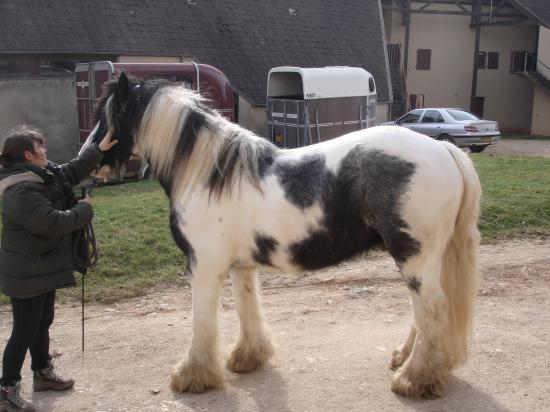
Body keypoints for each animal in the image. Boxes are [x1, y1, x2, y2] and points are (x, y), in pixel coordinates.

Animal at [82, 74, 484, 400]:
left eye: (105, 115)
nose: (88, 161)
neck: (209, 175)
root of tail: (443, 149)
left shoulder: (204, 265)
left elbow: (202, 320)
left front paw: (192, 375)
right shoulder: (240, 266)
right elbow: (247, 307)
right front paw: (247, 357)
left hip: (413, 257)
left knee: (432, 309)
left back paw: (414, 380)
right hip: (423, 259)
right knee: (423, 314)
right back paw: (405, 361)